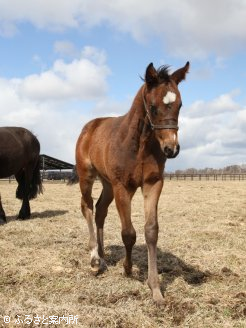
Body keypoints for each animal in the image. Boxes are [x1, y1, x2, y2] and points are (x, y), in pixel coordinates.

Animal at [70, 62, 189, 304]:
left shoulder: (153, 184)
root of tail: (90, 126)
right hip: (87, 176)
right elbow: (128, 233)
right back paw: (94, 259)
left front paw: (155, 289)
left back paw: (103, 255)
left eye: (180, 105)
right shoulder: (123, 187)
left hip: (107, 183)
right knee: (87, 207)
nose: (171, 149)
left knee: (100, 210)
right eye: (153, 106)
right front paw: (127, 268)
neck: (139, 145)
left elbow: (151, 230)